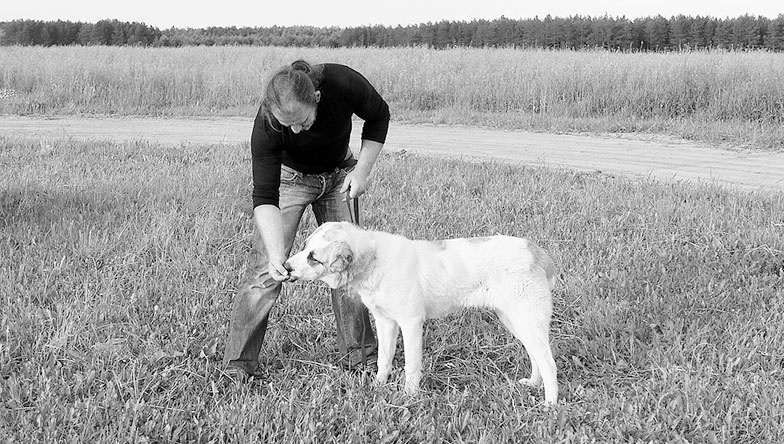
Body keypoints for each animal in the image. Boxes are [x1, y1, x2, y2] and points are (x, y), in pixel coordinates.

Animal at [284, 222, 556, 406]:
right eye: (304, 247)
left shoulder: (411, 323)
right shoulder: (385, 322)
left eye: (313, 258)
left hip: (527, 320)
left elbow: (411, 365)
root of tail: (536, 251)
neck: (373, 260)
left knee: (548, 362)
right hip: (515, 321)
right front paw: (378, 387)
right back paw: (533, 384)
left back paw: (550, 404)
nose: (285, 267)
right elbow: (384, 360)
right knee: (536, 356)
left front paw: (409, 396)